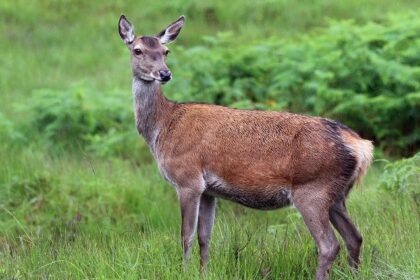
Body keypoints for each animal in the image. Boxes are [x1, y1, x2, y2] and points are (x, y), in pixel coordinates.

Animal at [118, 14, 374, 280]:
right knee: (355, 237)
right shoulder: (208, 190)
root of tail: (361, 146)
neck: (163, 127)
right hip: (338, 194)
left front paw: (184, 271)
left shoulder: (187, 179)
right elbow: (204, 237)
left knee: (329, 245)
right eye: (138, 50)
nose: (164, 73)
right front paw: (204, 271)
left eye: (165, 51)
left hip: (313, 190)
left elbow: (185, 236)